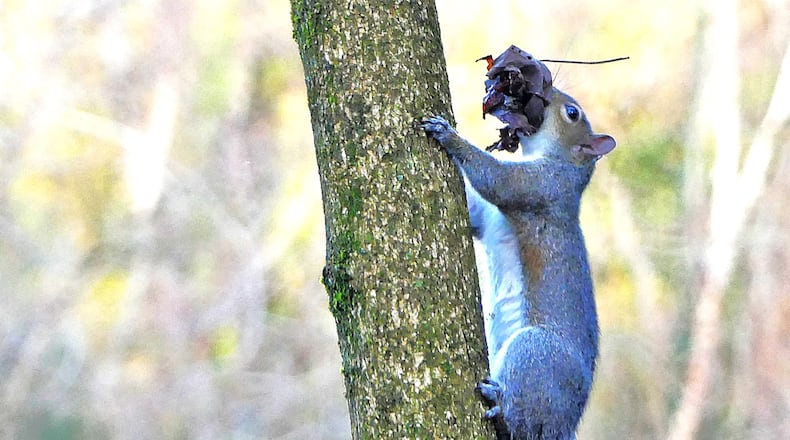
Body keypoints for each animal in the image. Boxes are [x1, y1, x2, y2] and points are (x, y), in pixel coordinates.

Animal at [421, 87, 616, 440]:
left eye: (572, 113)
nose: (545, 90)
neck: (563, 164)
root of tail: (566, 426)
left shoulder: (541, 187)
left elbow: (496, 179)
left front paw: (448, 135)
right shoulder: (489, 217)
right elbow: (475, 214)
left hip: (537, 353)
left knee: (522, 421)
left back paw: (500, 406)